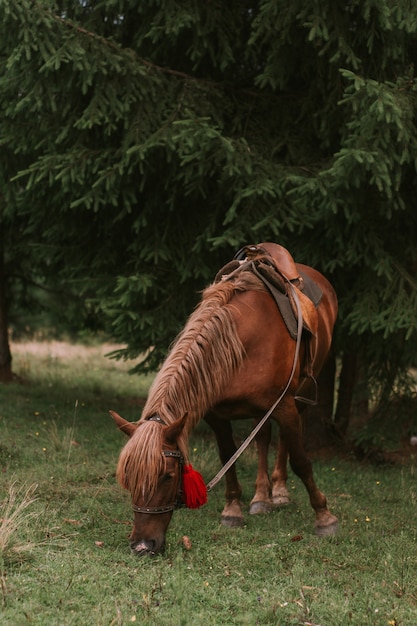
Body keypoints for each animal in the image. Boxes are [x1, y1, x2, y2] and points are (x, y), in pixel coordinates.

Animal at [110, 241, 338, 552]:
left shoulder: (285, 406)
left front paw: (324, 516)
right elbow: (228, 456)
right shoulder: (217, 416)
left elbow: (301, 461)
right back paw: (261, 497)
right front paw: (233, 510)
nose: (143, 545)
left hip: (300, 394)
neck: (242, 342)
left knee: (283, 441)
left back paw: (279, 492)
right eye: (128, 477)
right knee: (263, 438)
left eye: (168, 476)